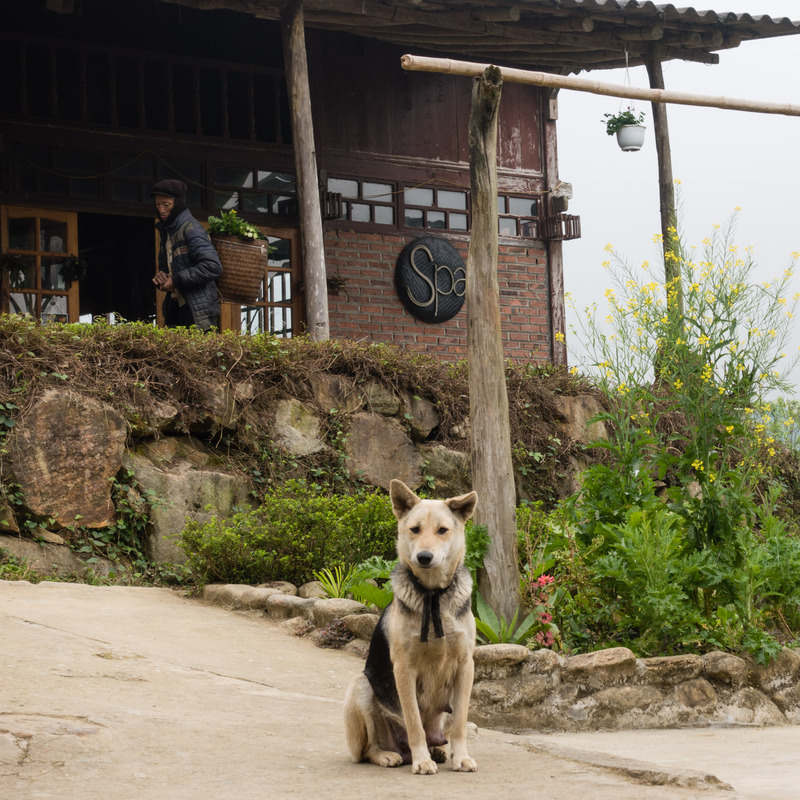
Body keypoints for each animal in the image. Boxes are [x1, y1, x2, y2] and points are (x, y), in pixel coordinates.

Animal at [342, 478, 476, 772]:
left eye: (442, 530)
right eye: (415, 529)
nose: (424, 557)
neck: (433, 594)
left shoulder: (465, 666)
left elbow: (460, 723)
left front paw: (460, 757)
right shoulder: (404, 669)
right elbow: (414, 723)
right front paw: (422, 761)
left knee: (442, 732)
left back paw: (439, 751)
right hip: (361, 687)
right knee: (368, 750)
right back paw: (390, 756)